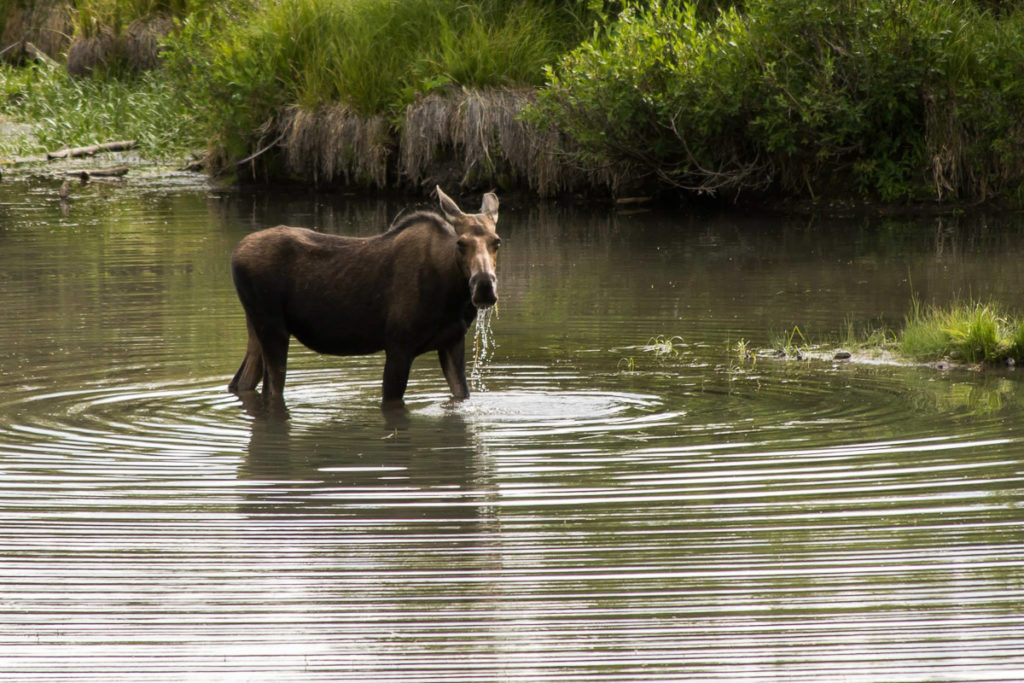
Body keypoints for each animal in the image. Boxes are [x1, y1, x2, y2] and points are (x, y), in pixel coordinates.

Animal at [232, 187, 503, 405]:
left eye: (497, 241)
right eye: (461, 243)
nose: (483, 286)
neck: (452, 297)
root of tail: (235, 254)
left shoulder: (452, 341)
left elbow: (461, 393)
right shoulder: (398, 345)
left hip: (255, 325)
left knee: (241, 382)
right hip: (272, 326)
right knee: (271, 389)